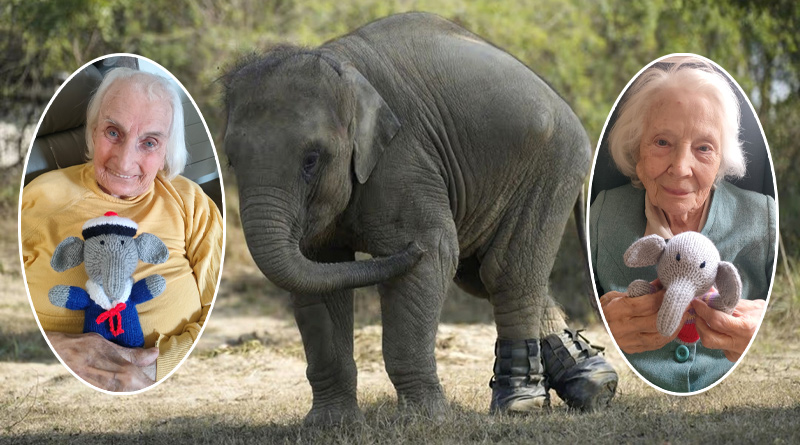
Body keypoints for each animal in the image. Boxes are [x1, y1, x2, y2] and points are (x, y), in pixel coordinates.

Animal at [222, 12, 617, 424]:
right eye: (230, 160)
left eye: (311, 160)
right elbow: (319, 272)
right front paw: (329, 424)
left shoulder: (403, 160)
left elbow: (432, 253)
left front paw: (426, 421)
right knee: (481, 276)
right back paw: (594, 382)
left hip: (550, 167)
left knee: (506, 274)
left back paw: (520, 403)